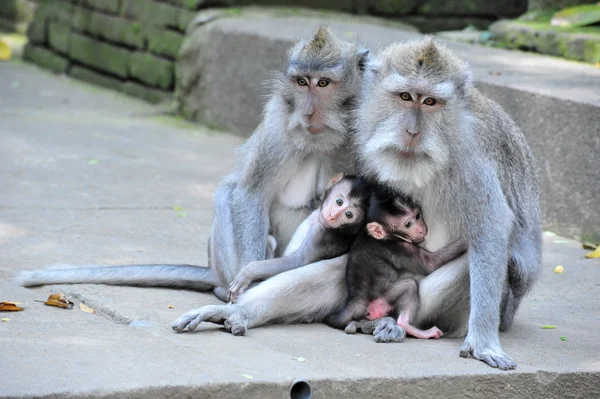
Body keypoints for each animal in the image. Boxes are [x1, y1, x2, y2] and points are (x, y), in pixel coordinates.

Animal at [229, 175, 370, 304]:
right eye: (339, 202)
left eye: (348, 215)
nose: (333, 216)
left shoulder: (317, 233)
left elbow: (297, 262)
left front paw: (249, 272)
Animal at [326, 184, 466, 340]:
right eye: (408, 224)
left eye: (417, 216)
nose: (421, 229)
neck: (382, 236)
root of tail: (356, 299)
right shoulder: (401, 248)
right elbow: (430, 263)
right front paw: (467, 241)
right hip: (384, 299)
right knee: (410, 285)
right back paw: (407, 325)